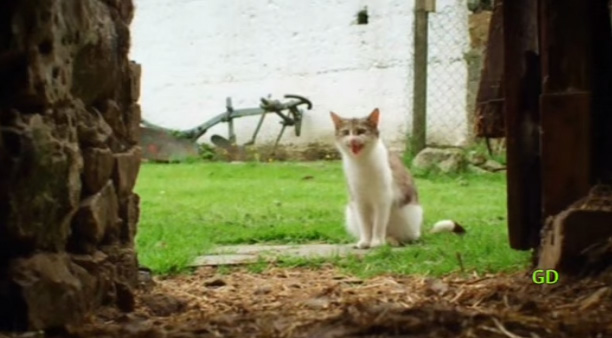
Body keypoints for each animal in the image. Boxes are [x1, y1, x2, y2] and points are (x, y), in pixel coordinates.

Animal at [330, 108, 464, 248]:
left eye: (361, 131)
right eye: (346, 132)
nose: (352, 139)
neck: (361, 164)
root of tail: (419, 230)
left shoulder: (383, 199)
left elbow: (379, 225)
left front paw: (376, 242)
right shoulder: (359, 200)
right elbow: (365, 226)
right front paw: (365, 241)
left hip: (409, 214)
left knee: (404, 237)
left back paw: (391, 240)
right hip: (351, 212)